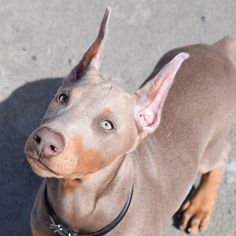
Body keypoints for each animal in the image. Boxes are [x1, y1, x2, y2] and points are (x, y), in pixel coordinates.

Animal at [24, 7, 236, 236]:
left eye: (107, 125)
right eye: (63, 98)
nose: (45, 141)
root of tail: (217, 49)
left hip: (209, 150)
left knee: (223, 152)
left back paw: (200, 207)